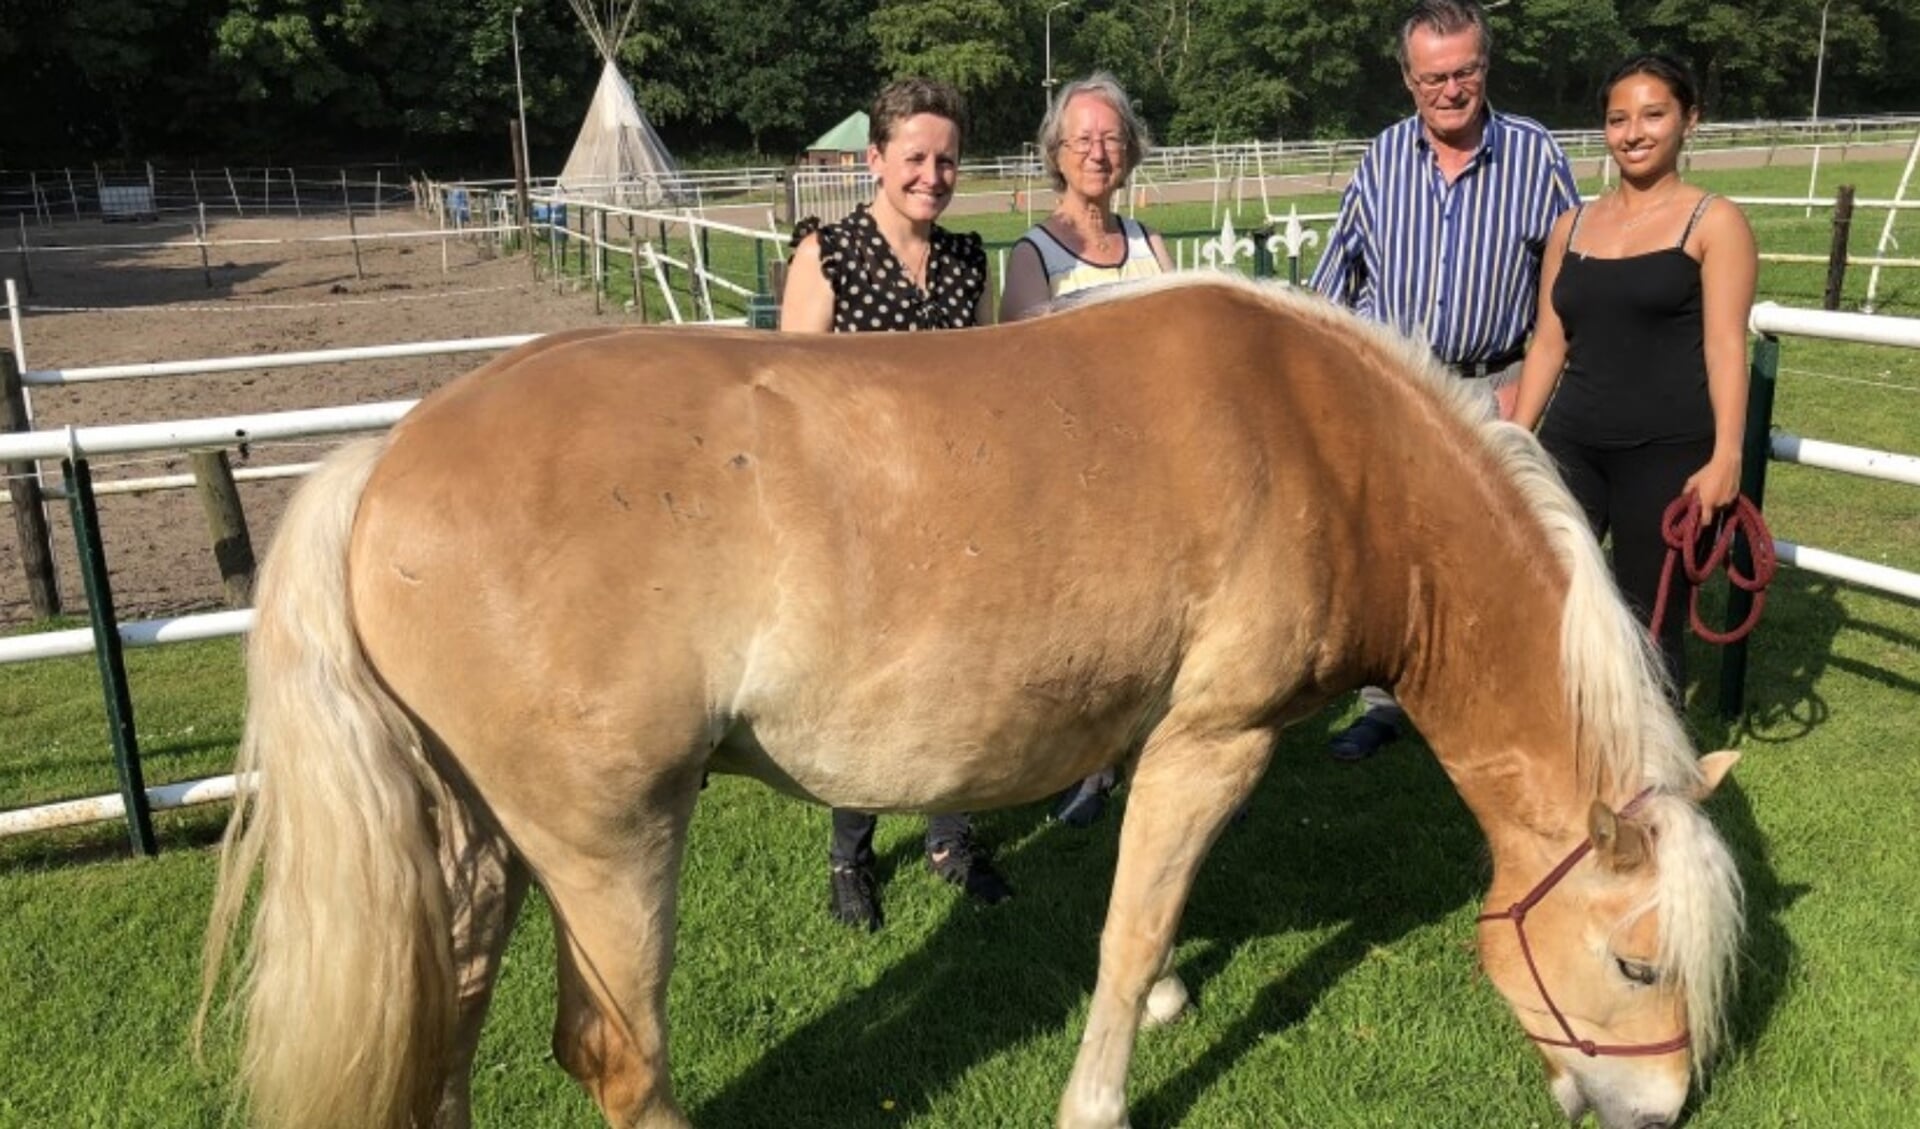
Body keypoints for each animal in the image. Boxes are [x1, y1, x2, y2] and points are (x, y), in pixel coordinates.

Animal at [202, 276, 1751, 1129]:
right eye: (1637, 966)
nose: (1661, 1111)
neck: (1333, 444)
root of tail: (386, 457)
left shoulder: (1148, 732)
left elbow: (1143, 905)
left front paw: (1171, 994)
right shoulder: (1218, 740)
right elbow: (1129, 930)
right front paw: (1102, 1091)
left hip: (473, 844)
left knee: (449, 1017)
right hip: (608, 842)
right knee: (615, 1058)